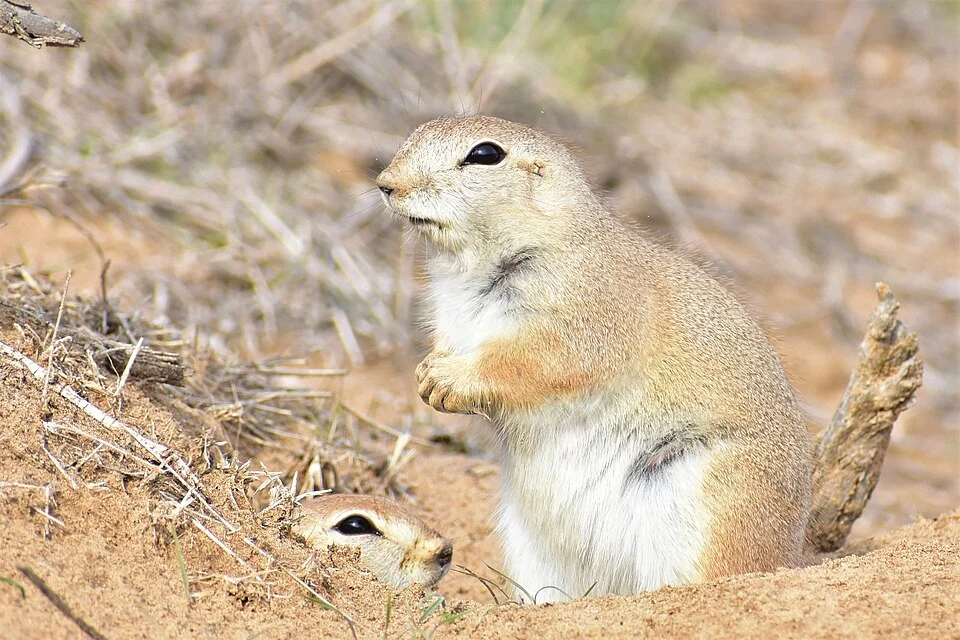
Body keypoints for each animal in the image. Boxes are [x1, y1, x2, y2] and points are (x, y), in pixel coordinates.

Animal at [376, 114, 813, 602]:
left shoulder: (584, 310)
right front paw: (426, 374)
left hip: (711, 508)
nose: (386, 183)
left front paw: (448, 380)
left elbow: (537, 361)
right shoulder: (451, 317)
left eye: (485, 154)